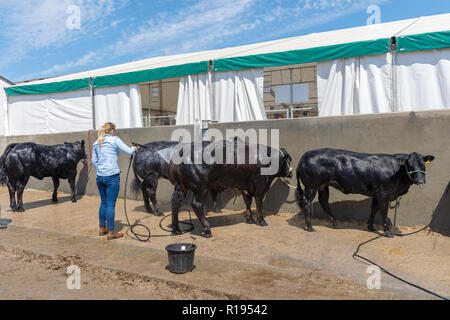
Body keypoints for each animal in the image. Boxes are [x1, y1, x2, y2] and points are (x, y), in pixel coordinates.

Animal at [296, 149, 436, 236]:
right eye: (409, 165)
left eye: (423, 164)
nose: (420, 180)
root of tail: (305, 155)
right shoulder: (383, 194)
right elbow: (383, 212)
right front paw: (387, 232)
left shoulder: (377, 194)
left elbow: (374, 209)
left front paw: (371, 227)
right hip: (311, 185)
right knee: (306, 202)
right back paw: (310, 227)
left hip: (323, 185)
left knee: (323, 201)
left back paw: (335, 224)